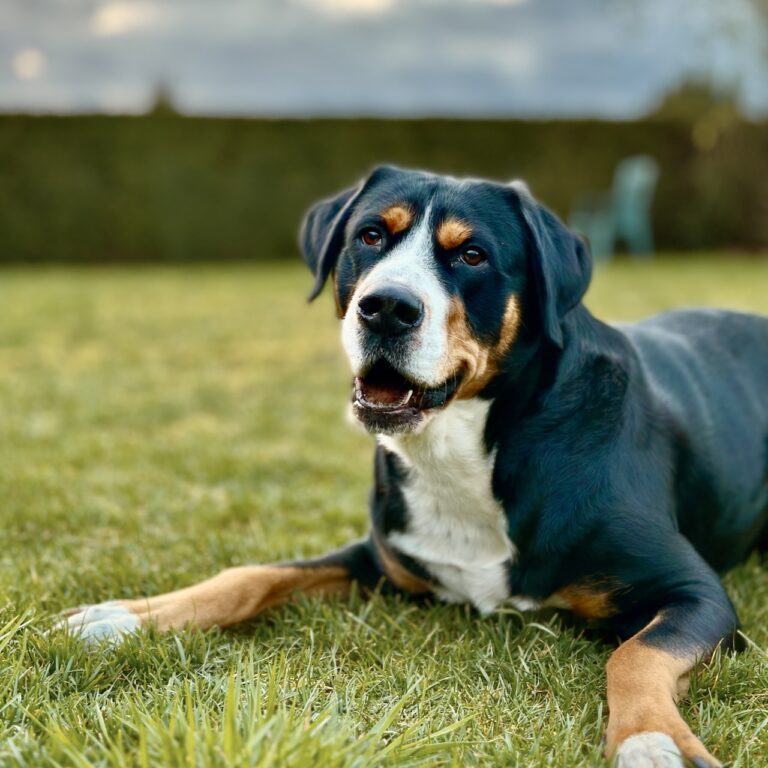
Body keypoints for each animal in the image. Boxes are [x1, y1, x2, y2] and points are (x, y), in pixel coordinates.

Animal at [64, 166, 768, 767]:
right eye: (371, 235)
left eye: (472, 255)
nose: (387, 307)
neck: (460, 450)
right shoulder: (383, 556)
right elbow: (251, 575)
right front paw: (125, 618)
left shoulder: (695, 591)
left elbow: (634, 655)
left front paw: (652, 739)